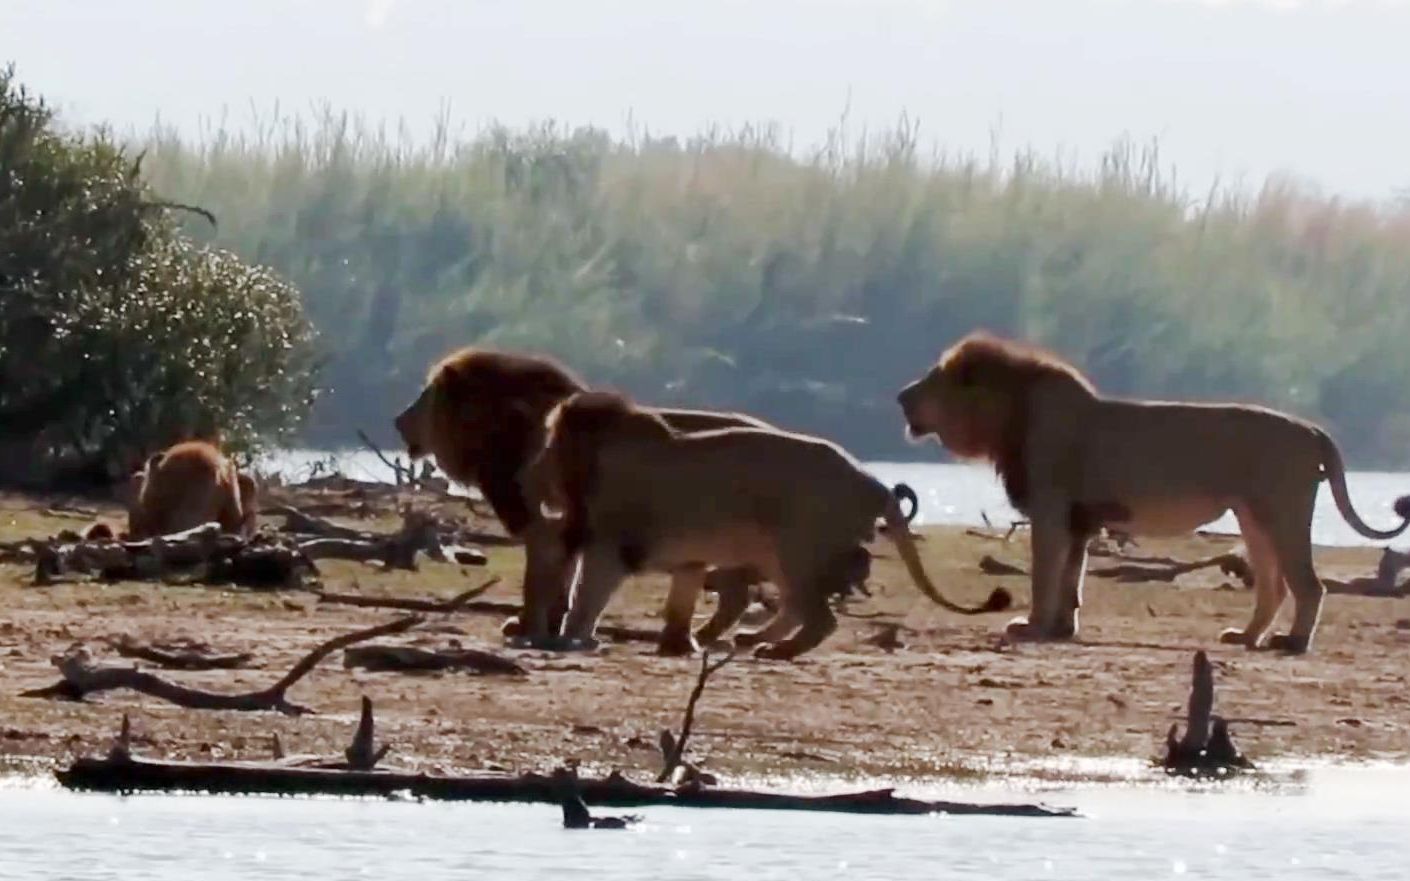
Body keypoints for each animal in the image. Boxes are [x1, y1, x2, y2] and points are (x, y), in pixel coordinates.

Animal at [394, 346, 924, 648]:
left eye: (425, 396)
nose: (398, 420)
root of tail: (871, 481)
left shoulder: (553, 527)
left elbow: (543, 584)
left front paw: (529, 628)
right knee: (773, 600)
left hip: (786, 548)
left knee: (778, 600)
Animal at [524, 391, 1009, 659]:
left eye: (547, 446)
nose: (530, 472)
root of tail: (871, 480)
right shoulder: (688, 554)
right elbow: (678, 602)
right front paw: (679, 645)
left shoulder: (610, 544)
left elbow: (586, 596)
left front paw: (571, 639)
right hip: (779, 552)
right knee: (795, 606)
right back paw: (752, 637)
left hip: (798, 547)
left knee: (821, 618)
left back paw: (776, 650)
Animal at [896, 329, 1410, 654]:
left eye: (934, 377)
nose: (900, 395)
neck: (1009, 415)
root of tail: (1312, 429)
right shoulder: (1079, 519)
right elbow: (1071, 578)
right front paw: (1061, 629)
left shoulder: (1050, 510)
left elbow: (1045, 574)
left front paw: (1031, 626)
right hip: (1254, 518)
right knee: (1274, 584)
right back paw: (1246, 637)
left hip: (1282, 511)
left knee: (1308, 585)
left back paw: (1294, 642)